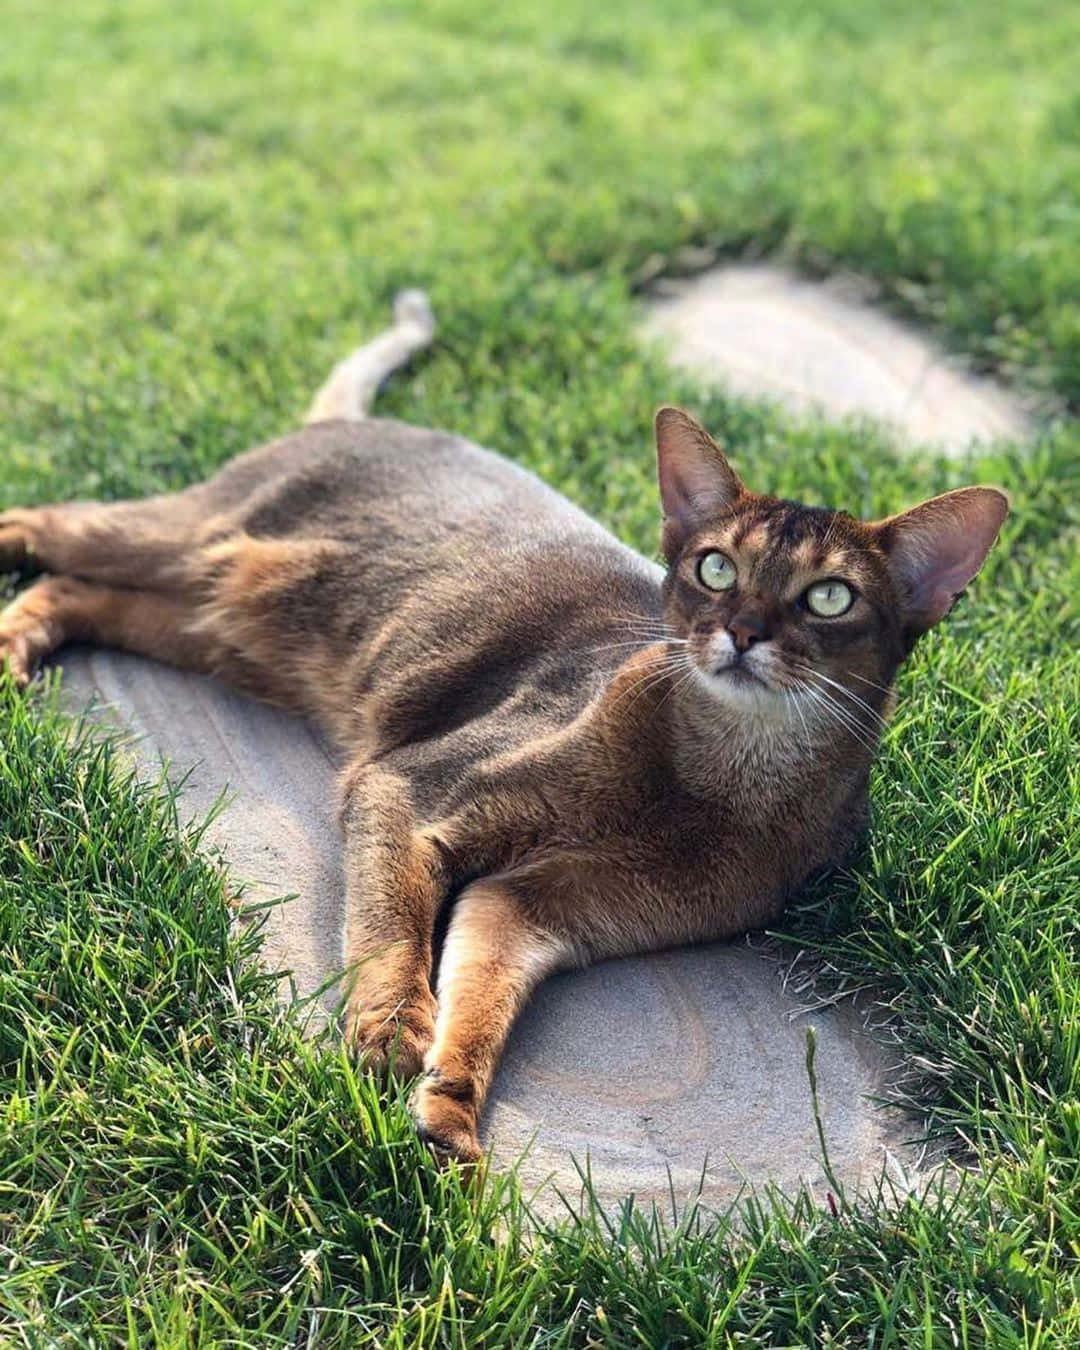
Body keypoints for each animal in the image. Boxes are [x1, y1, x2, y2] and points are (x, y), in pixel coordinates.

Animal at [2, 292, 1015, 1161]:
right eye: (717, 568)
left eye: (830, 596)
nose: (742, 631)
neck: (716, 784)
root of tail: (355, 423)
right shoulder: (407, 788)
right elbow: (390, 928)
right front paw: (390, 1029)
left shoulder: (535, 906)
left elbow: (483, 998)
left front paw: (449, 1115)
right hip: (195, 541)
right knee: (47, 523)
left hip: (225, 622)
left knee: (81, 590)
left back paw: (22, 641)